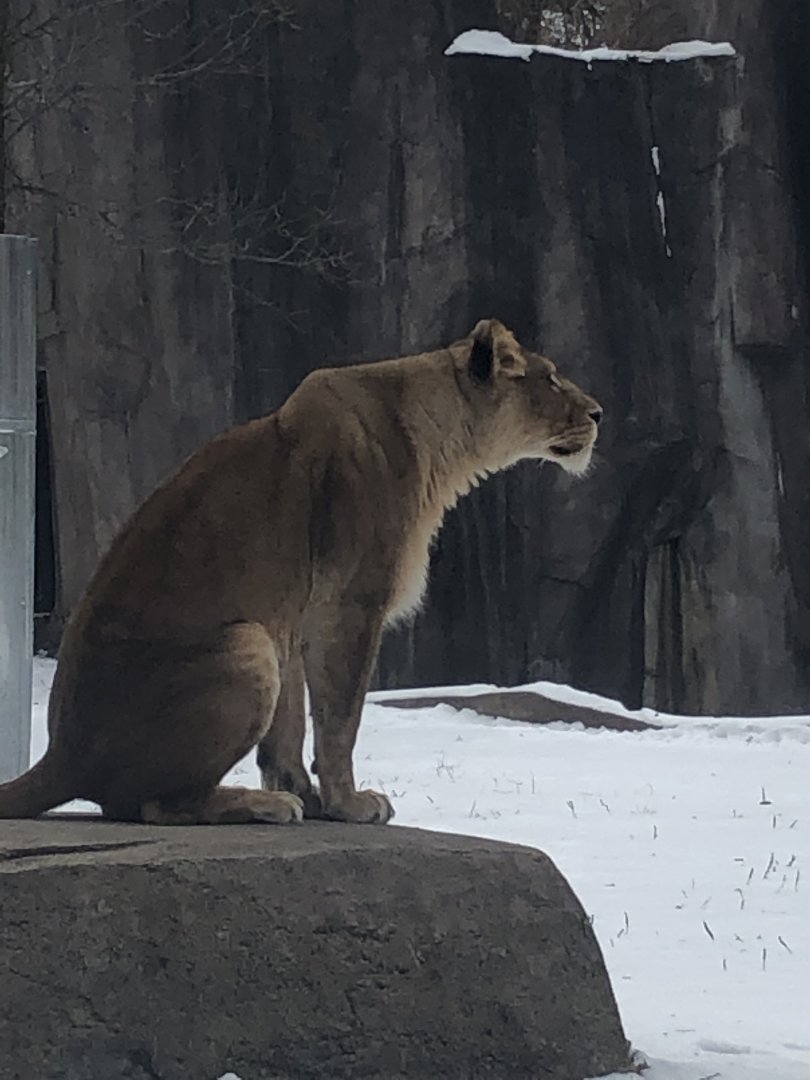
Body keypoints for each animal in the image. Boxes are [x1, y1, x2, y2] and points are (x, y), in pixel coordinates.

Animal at [0, 319, 601, 826]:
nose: (598, 414)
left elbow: (288, 731)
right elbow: (340, 719)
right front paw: (348, 804)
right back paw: (260, 804)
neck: (439, 441)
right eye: (550, 378)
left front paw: (311, 797)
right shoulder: (347, 605)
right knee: (152, 805)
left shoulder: (291, 613)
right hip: (247, 642)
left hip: (263, 636)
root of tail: (60, 756)